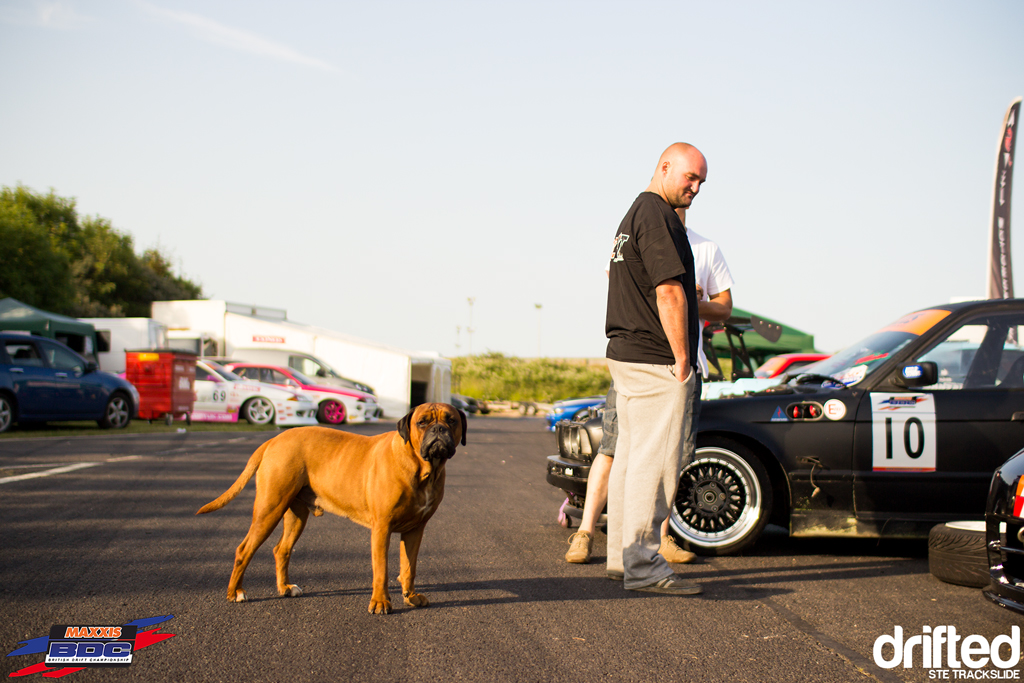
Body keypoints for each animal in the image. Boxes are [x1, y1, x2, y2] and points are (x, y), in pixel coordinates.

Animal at [194, 401, 464, 614]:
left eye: (451, 420)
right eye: (422, 422)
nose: (439, 429)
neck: (422, 469)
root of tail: (274, 439)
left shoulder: (415, 530)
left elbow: (409, 567)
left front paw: (410, 597)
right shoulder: (382, 528)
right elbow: (381, 569)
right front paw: (380, 603)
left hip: (296, 514)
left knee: (281, 550)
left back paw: (285, 588)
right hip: (269, 509)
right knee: (244, 550)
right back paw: (236, 592)